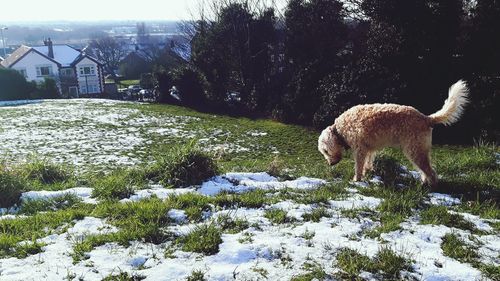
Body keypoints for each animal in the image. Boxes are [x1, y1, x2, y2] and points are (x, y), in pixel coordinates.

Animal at [320, 80, 468, 185]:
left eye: (326, 151)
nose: (330, 164)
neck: (340, 129)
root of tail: (426, 118)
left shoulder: (360, 150)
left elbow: (358, 166)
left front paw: (356, 180)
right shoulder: (369, 149)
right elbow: (368, 162)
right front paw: (368, 172)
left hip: (415, 150)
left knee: (430, 172)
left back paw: (429, 186)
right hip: (418, 151)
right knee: (426, 170)